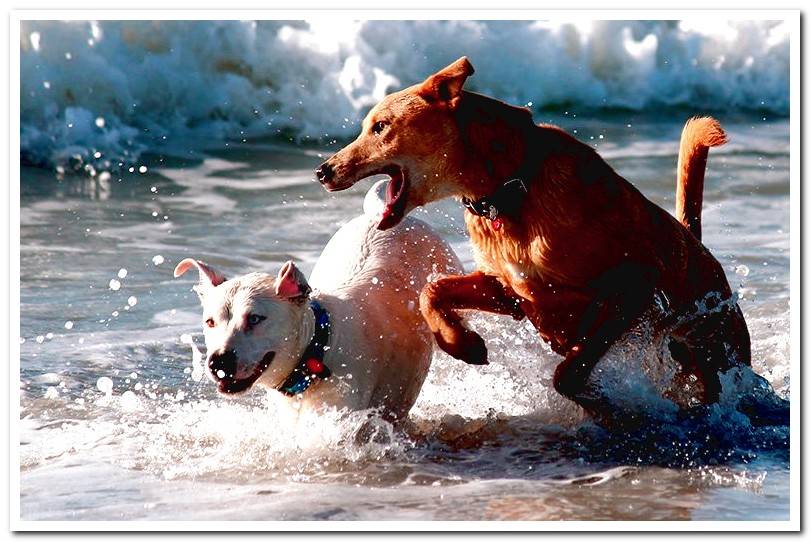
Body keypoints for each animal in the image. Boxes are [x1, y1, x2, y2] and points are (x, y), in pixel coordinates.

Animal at [316, 57, 748, 410]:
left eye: (380, 127)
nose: (322, 171)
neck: (508, 189)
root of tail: (697, 245)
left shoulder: (634, 282)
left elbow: (570, 369)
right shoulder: (509, 290)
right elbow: (432, 290)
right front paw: (462, 343)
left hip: (720, 346)